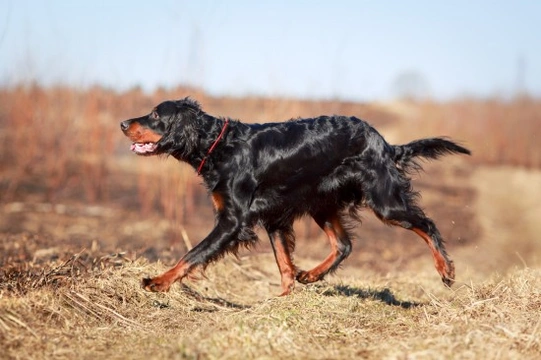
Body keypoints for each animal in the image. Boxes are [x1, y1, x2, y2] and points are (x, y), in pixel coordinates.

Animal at [121, 98, 468, 296]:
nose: (123, 123)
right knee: (343, 244)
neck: (220, 146)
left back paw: (446, 270)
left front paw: (158, 282)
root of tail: (383, 142)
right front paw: (283, 301)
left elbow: (191, 254)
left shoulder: (232, 221)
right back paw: (312, 275)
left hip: (384, 201)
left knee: (427, 224)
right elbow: (284, 265)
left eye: (155, 114)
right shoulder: (274, 216)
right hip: (322, 202)